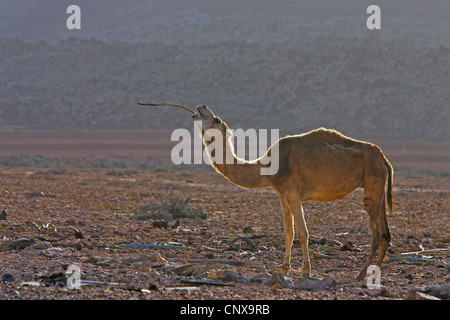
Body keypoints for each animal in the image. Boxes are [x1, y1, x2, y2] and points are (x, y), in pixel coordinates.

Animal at [137, 102, 394, 280]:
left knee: (377, 232)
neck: (266, 167)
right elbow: (288, 232)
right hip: (377, 186)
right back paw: (371, 272)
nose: (201, 106)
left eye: (216, 118)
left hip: (372, 182)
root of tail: (384, 157)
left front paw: (306, 270)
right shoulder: (282, 195)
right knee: (385, 231)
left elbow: (303, 232)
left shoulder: (293, 192)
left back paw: (361, 274)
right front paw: (285, 268)